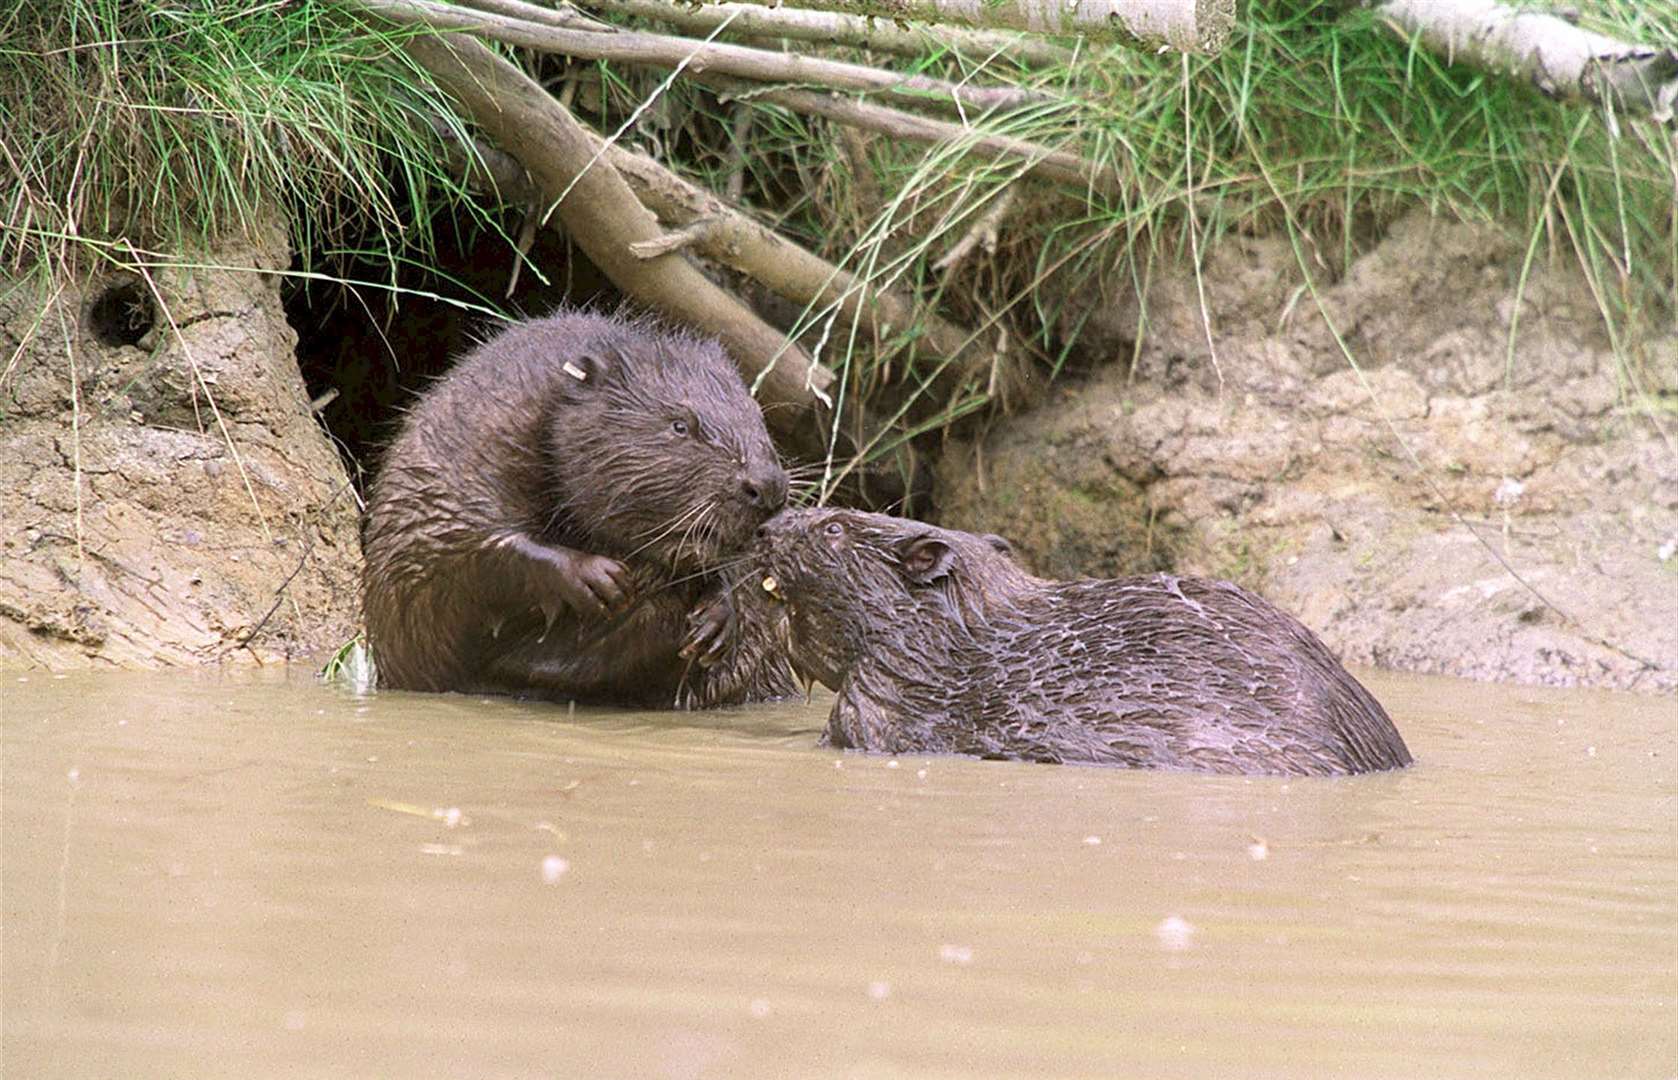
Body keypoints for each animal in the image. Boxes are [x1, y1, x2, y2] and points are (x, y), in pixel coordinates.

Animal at [359, 308, 798, 707]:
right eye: (679, 425)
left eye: (757, 415)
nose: (768, 486)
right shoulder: (473, 451)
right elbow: (454, 551)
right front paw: (600, 578)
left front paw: (715, 620)